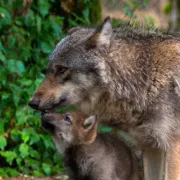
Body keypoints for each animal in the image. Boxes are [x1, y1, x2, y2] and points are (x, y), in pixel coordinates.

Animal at [29, 17, 180, 180]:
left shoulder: (172, 147)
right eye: (48, 70)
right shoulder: (151, 147)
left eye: (62, 69)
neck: (145, 79)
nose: (32, 102)